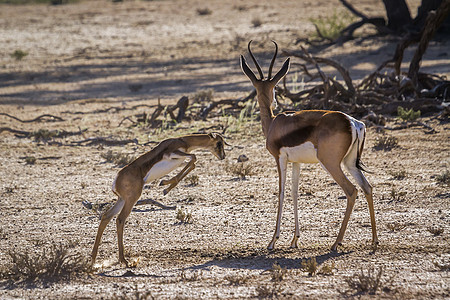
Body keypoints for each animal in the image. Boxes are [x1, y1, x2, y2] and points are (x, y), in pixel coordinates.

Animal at [91, 132, 229, 266]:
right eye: (219, 143)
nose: (223, 156)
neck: (183, 140)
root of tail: (116, 180)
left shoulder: (181, 158)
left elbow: (193, 163)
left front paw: (165, 186)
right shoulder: (172, 154)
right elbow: (194, 157)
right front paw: (165, 186)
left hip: (122, 200)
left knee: (106, 216)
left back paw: (93, 259)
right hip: (131, 199)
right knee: (120, 219)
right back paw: (123, 260)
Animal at [241, 39, 378, 251]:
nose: (274, 101)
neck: (273, 123)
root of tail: (353, 123)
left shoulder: (279, 158)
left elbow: (281, 192)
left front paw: (273, 241)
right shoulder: (297, 162)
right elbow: (295, 192)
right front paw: (294, 239)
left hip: (330, 163)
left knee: (352, 190)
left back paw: (336, 243)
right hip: (349, 163)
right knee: (367, 188)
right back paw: (374, 241)